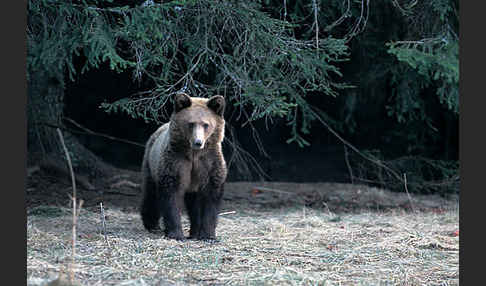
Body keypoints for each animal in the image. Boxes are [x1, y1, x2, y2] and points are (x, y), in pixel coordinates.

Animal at [139, 92, 226, 240]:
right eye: (191, 124)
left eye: (206, 124)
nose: (198, 142)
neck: (193, 154)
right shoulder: (176, 161)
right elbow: (171, 195)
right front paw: (175, 233)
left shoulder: (208, 163)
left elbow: (211, 195)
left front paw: (208, 235)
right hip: (150, 163)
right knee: (151, 193)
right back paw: (152, 224)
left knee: (193, 203)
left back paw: (195, 232)